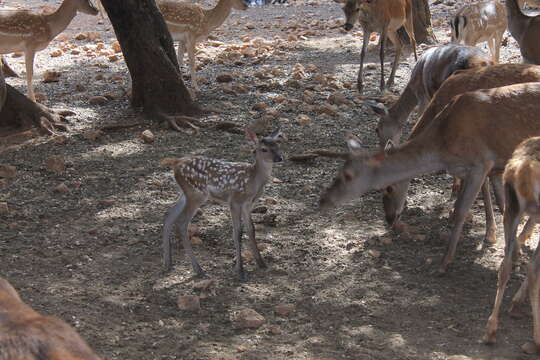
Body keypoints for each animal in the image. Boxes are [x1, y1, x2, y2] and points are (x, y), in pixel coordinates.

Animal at [160, 129, 284, 282]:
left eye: (278, 144)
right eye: (264, 149)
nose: (279, 158)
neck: (254, 181)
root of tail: (176, 164)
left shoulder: (248, 204)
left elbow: (251, 229)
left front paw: (261, 263)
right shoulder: (235, 201)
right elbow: (237, 232)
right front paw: (240, 271)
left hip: (185, 193)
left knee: (168, 216)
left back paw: (168, 263)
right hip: (197, 194)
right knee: (181, 223)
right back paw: (198, 270)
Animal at [320, 81, 540, 272]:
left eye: (348, 175)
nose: (323, 201)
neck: (443, 148)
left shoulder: (481, 163)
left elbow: (461, 210)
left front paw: (444, 262)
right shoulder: (481, 168)